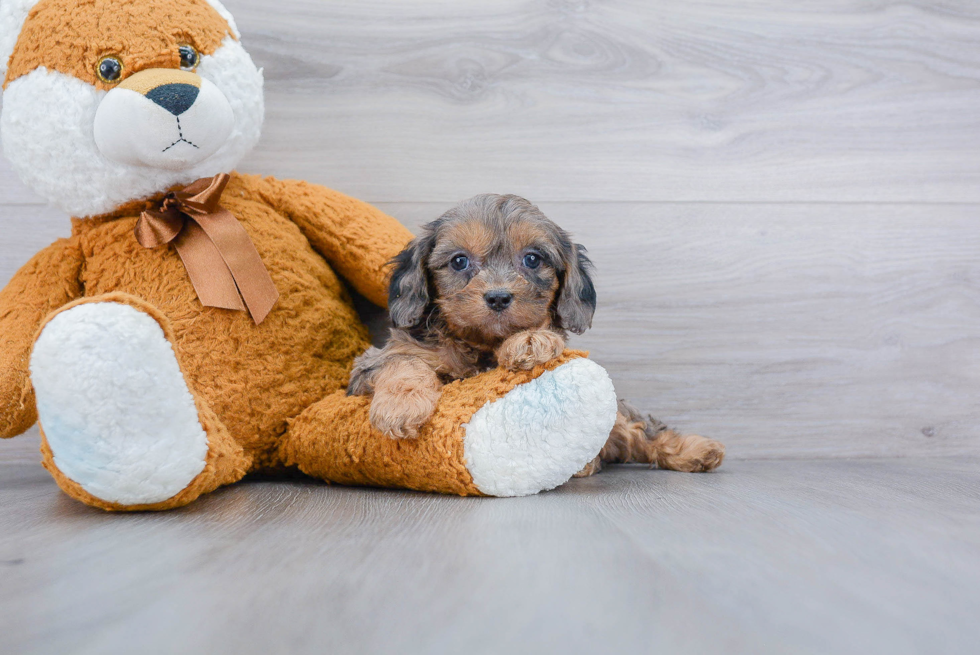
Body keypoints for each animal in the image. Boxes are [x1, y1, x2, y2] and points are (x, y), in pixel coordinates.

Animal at [348, 195, 724, 476]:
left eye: (532, 259)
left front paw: (530, 340)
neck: (482, 346)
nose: (498, 297)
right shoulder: (372, 365)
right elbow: (403, 362)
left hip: (619, 414)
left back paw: (695, 450)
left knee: (639, 430)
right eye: (458, 261)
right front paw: (400, 407)